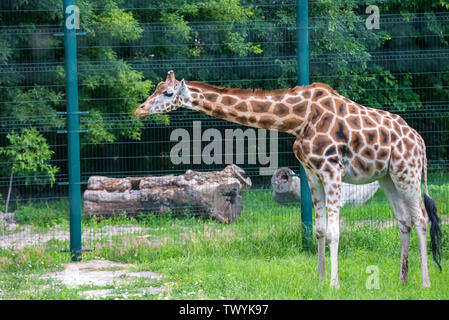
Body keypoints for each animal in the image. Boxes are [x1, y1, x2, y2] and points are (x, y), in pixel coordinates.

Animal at [134, 70, 440, 288]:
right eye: (155, 89)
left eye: (168, 93)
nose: (139, 109)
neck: (298, 120)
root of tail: (421, 142)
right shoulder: (312, 173)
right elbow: (319, 229)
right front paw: (320, 280)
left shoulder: (332, 170)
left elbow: (334, 231)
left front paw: (334, 284)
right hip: (388, 177)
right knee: (404, 220)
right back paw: (402, 281)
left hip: (408, 171)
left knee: (422, 218)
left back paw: (425, 283)